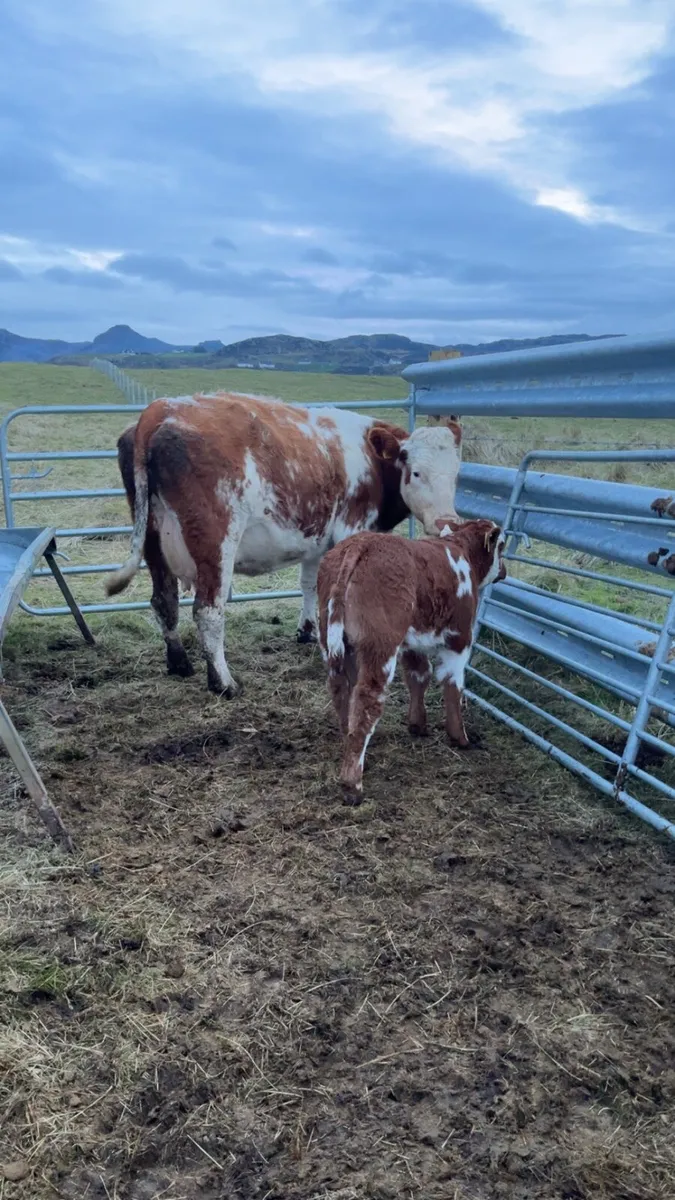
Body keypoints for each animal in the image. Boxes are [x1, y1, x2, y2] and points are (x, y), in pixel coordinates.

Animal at [105, 391, 463, 697]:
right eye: (415, 473)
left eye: (457, 474)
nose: (445, 521)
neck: (370, 458)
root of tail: (161, 409)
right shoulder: (352, 529)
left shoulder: (318, 540)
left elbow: (311, 585)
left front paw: (308, 631)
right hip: (216, 543)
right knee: (208, 611)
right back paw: (223, 682)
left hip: (153, 542)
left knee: (164, 601)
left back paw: (179, 663)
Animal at [317, 517, 506, 803]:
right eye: (502, 546)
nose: (504, 571)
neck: (461, 553)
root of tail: (360, 543)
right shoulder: (459, 639)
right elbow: (452, 685)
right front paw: (460, 737)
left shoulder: (412, 642)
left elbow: (419, 676)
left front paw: (417, 724)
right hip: (380, 645)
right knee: (366, 700)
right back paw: (353, 783)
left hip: (335, 642)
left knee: (342, 692)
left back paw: (349, 745)